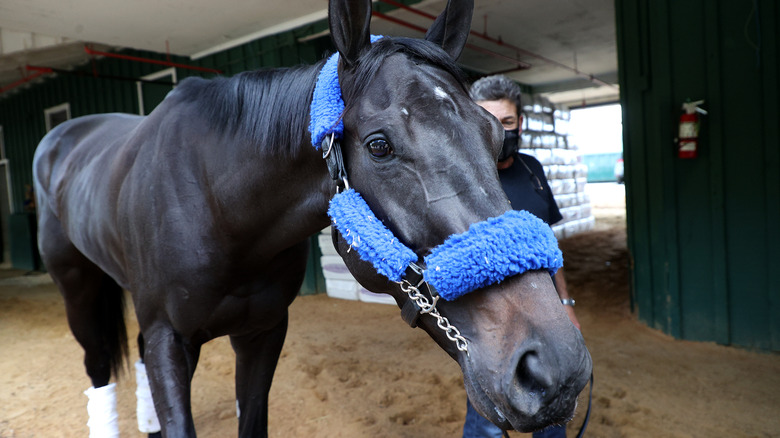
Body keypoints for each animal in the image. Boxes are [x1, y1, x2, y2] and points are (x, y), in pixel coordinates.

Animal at [32, 1, 592, 436]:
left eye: (496, 137)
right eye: (379, 146)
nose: (555, 368)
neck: (216, 205)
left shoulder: (262, 333)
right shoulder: (171, 339)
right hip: (77, 287)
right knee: (98, 367)